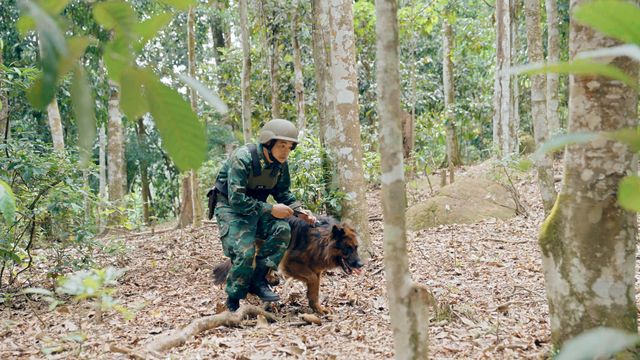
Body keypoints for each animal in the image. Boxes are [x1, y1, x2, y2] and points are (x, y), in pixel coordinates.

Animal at [212, 215, 362, 314]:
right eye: (347, 248)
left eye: (356, 247)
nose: (361, 265)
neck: (320, 240)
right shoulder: (291, 264)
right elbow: (312, 279)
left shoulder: (315, 268)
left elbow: (315, 289)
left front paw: (317, 307)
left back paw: (269, 281)